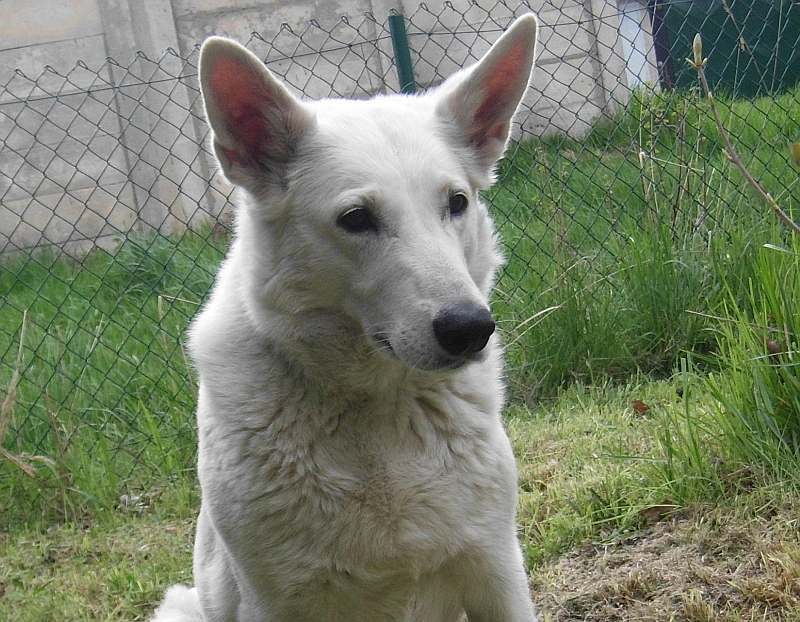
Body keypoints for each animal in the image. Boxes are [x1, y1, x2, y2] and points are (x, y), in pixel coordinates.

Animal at [152, 14, 536, 622]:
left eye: (456, 203)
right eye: (356, 218)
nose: (470, 327)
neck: (375, 407)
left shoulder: (496, 569)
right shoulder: (273, 601)